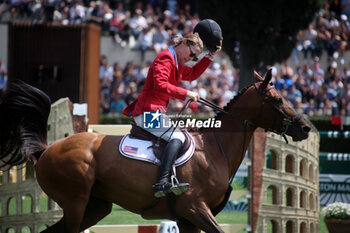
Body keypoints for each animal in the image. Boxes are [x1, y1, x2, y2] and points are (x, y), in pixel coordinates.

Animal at [1, 69, 310, 233]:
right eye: (277, 99)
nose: (305, 128)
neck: (213, 149)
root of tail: (47, 150)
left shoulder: (188, 219)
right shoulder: (195, 208)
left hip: (95, 206)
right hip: (76, 203)